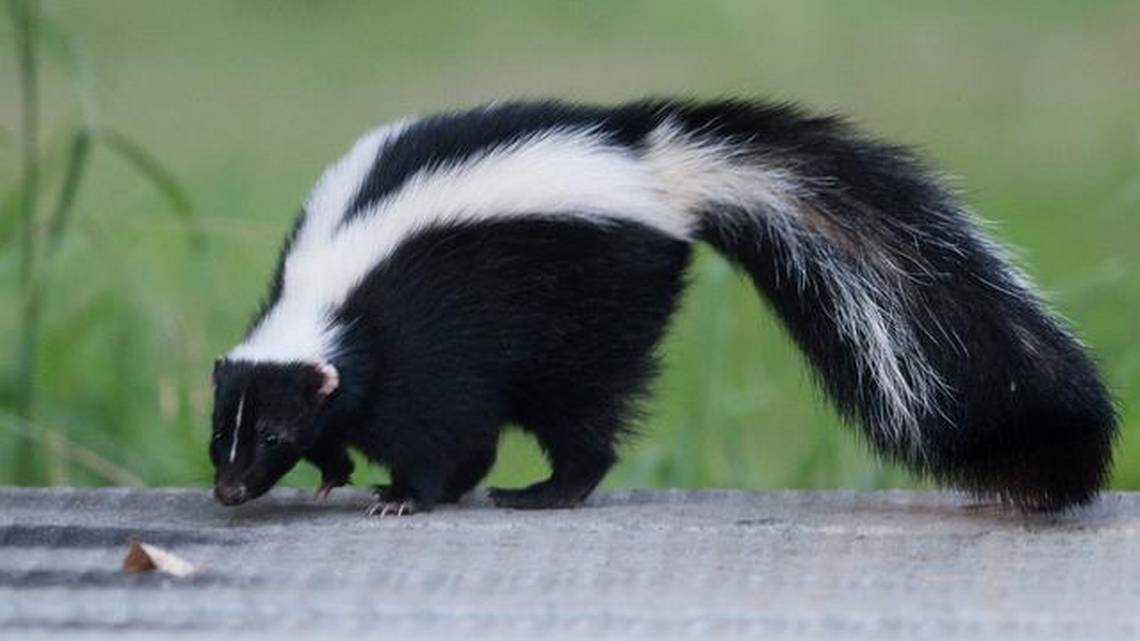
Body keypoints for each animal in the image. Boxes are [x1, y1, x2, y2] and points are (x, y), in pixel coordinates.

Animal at [209, 97, 1117, 510]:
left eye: (272, 434)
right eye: (222, 433)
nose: (227, 489)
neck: (327, 291)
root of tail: (660, 166)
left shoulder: (424, 334)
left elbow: (438, 426)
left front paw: (404, 493)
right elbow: (362, 418)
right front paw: (335, 470)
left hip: (593, 305)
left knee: (584, 415)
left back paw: (548, 489)